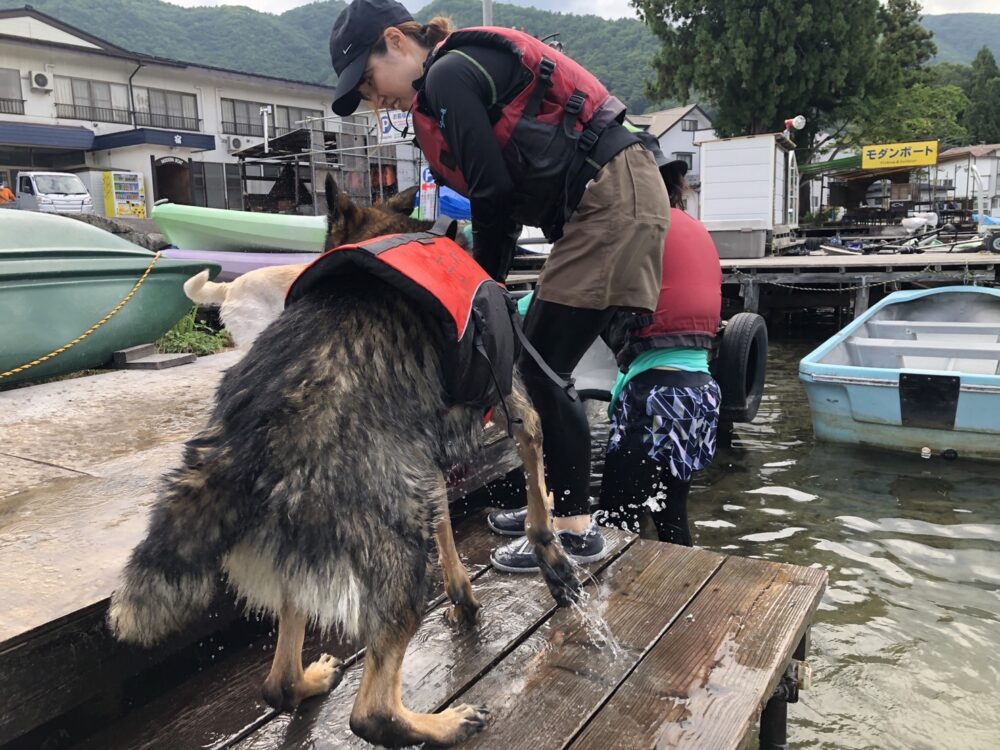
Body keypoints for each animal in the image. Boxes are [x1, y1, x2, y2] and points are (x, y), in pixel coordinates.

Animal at [107, 181, 580, 748]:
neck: (387, 233)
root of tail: (242, 449)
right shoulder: (517, 410)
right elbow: (537, 501)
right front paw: (552, 562)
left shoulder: (421, 461)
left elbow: (445, 520)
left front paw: (464, 591)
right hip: (399, 562)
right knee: (370, 712)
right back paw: (441, 724)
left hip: (300, 556)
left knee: (278, 685)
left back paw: (310, 681)